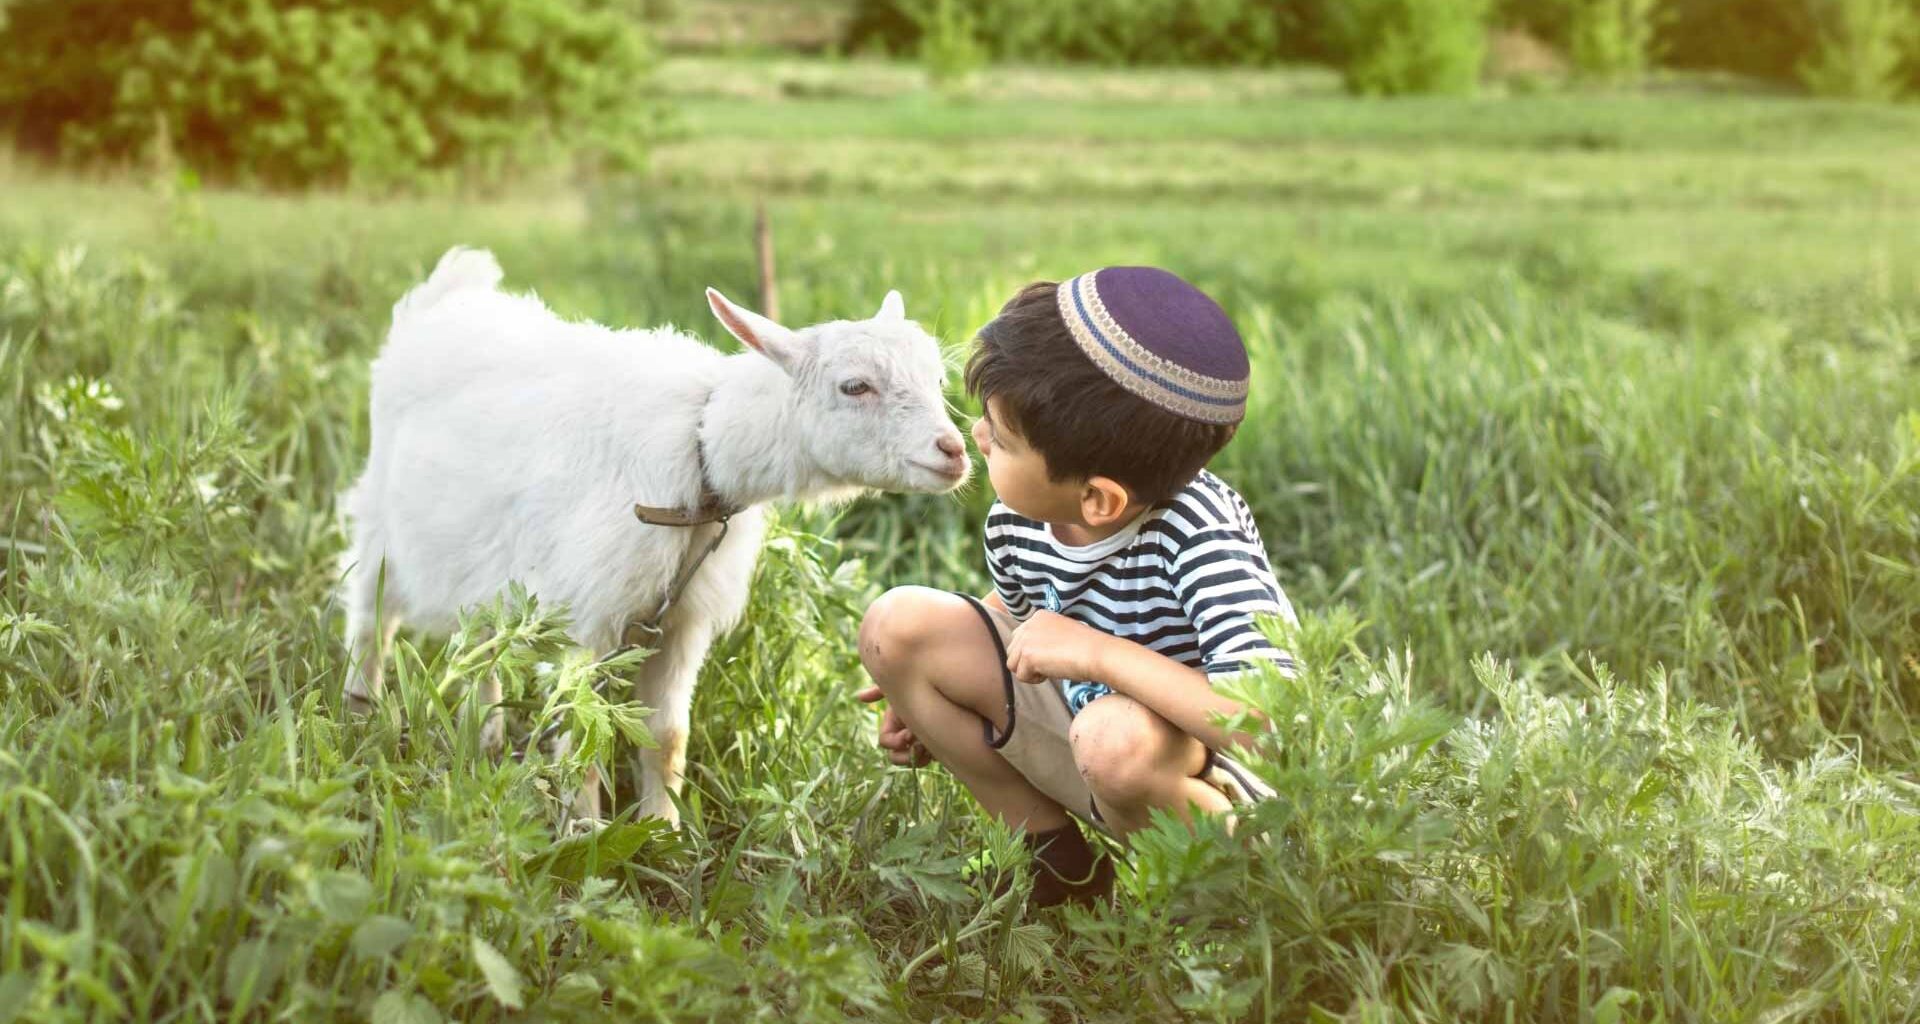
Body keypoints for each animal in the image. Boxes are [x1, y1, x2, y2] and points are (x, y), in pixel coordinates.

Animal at [341, 247, 969, 826]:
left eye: (938, 379)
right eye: (854, 386)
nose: (954, 451)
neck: (701, 452)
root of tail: (445, 296)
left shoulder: (681, 622)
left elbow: (667, 735)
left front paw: (662, 832)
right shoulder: (591, 613)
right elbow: (583, 734)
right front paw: (586, 832)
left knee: (480, 650)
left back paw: (484, 741)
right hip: (381, 526)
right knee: (370, 623)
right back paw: (359, 716)